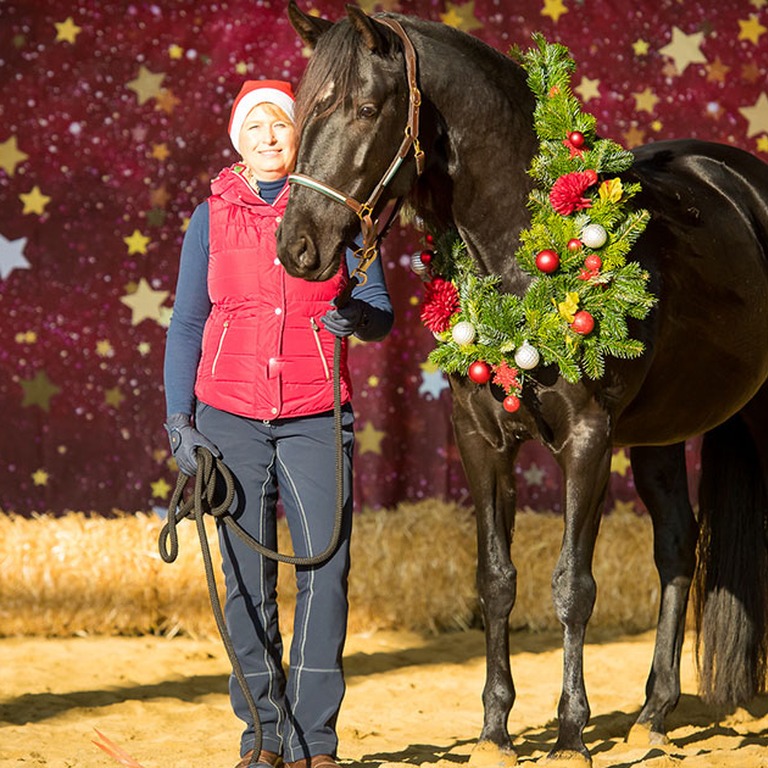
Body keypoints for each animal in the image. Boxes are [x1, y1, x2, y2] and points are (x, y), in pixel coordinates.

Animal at [280, 4, 768, 760]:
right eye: (305, 109)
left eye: (364, 108)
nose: (296, 247)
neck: (524, 251)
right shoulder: (481, 439)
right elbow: (496, 581)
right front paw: (494, 730)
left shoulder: (588, 441)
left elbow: (573, 586)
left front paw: (570, 733)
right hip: (659, 434)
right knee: (677, 547)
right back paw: (653, 715)